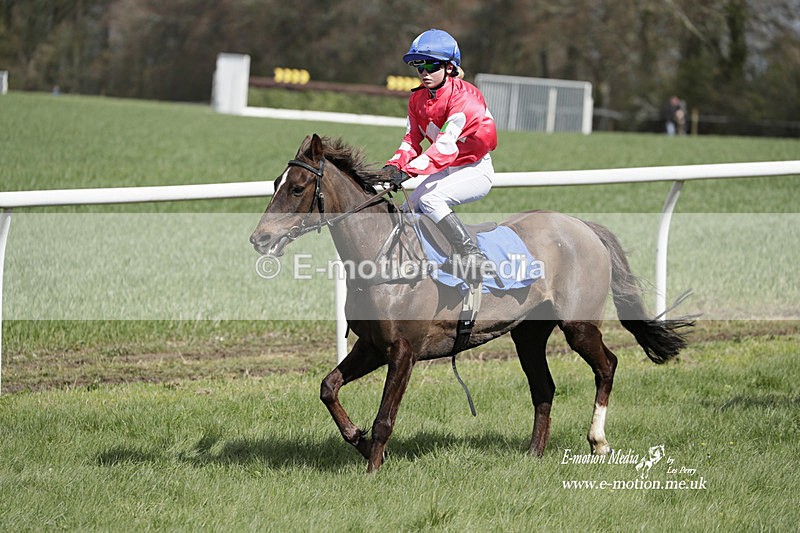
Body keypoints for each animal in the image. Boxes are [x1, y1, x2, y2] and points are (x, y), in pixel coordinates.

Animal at [250, 134, 692, 472]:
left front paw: (373, 469)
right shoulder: (372, 346)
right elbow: (328, 388)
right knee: (544, 388)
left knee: (607, 365)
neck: (385, 255)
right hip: (528, 334)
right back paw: (533, 455)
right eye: (275, 182)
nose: (260, 239)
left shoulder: (404, 351)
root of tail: (583, 226)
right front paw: (357, 440)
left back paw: (598, 440)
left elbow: (384, 418)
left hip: (578, 325)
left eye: (297, 188)